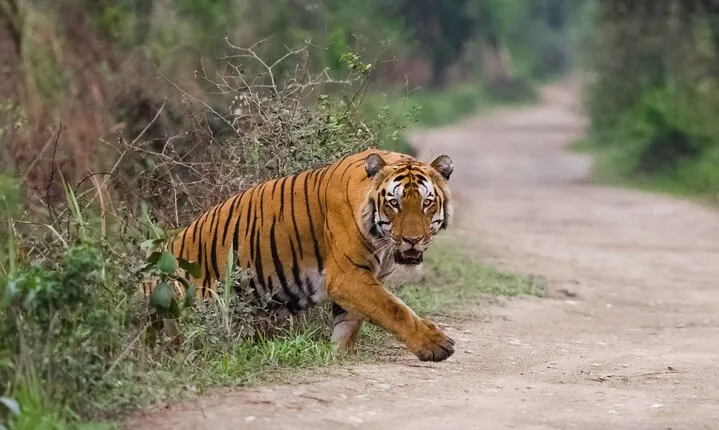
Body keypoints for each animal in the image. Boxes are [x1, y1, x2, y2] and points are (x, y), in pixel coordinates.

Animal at [160, 148, 455, 362]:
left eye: (427, 203)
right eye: (394, 203)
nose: (412, 240)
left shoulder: (361, 279)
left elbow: (350, 321)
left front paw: (338, 353)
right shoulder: (348, 276)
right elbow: (394, 309)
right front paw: (435, 344)